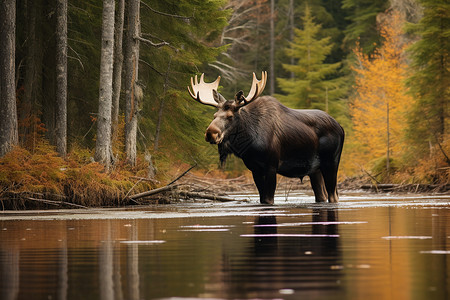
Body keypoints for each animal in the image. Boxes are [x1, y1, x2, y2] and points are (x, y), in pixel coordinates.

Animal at [186, 72, 344, 204]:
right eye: (214, 116)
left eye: (230, 116)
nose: (210, 133)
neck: (248, 144)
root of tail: (341, 128)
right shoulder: (255, 169)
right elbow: (263, 199)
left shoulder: (271, 166)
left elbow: (268, 200)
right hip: (314, 170)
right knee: (322, 195)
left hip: (331, 162)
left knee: (333, 195)